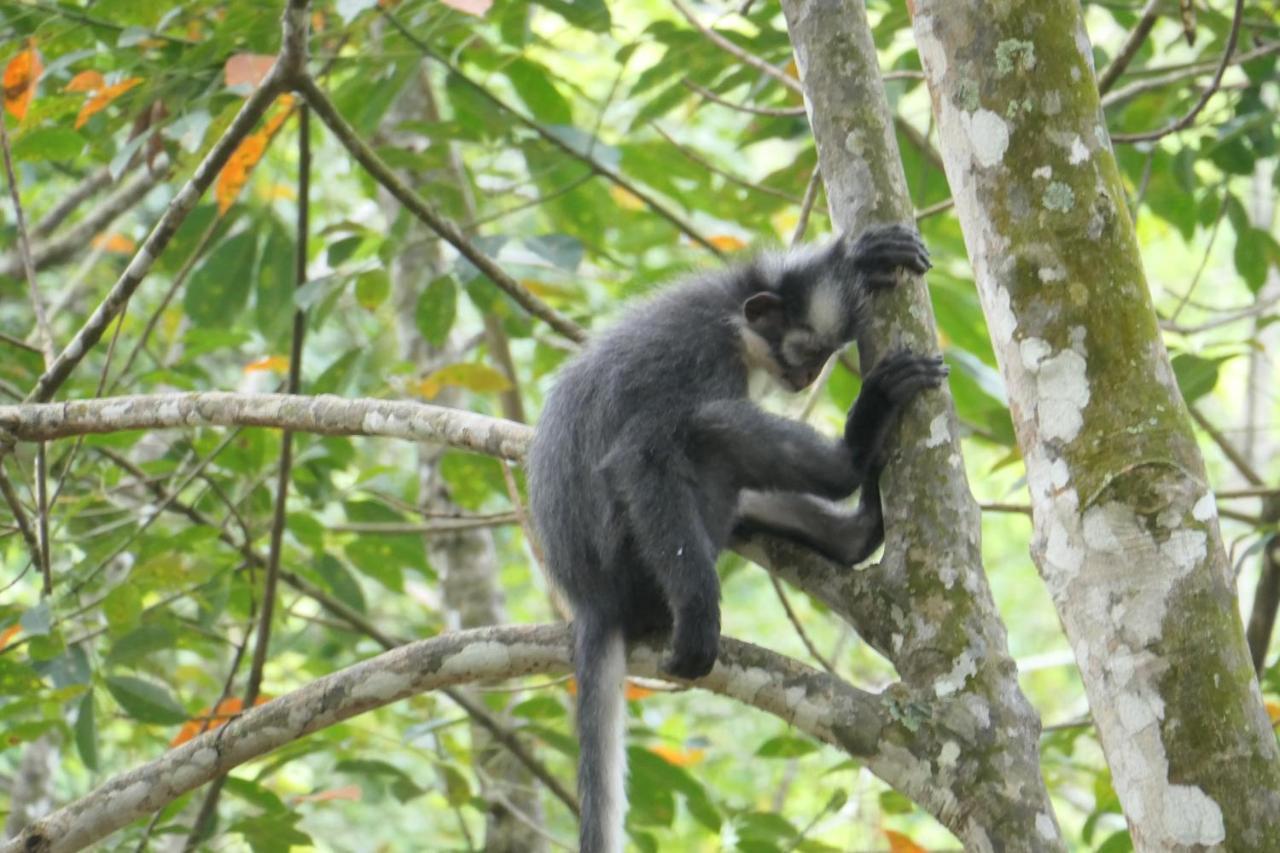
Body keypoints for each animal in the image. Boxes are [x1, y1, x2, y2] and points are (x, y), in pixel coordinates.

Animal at [524, 222, 947, 845]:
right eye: (808, 354)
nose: (806, 379)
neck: (732, 319)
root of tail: (590, 600)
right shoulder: (698, 357)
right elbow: (641, 459)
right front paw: (700, 615)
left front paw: (857, 253)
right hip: (633, 564)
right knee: (705, 430)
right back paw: (852, 452)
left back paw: (856, 532)